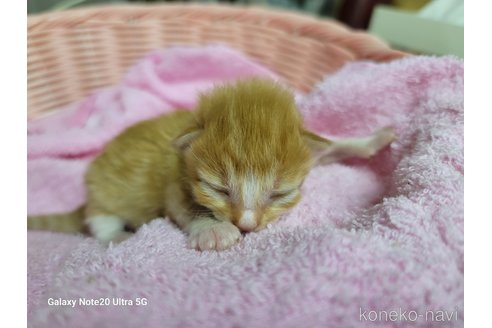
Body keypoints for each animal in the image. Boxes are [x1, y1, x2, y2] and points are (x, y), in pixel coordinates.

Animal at [27, 79, 396, 251]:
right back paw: (117, 235)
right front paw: (214, 230)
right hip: (106, 192)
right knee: (99, 218)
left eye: (279, 193)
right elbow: (187, 208)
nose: (246, 225)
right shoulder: (174, 186)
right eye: (219, 188)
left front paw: (371, 140)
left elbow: (330, 145)